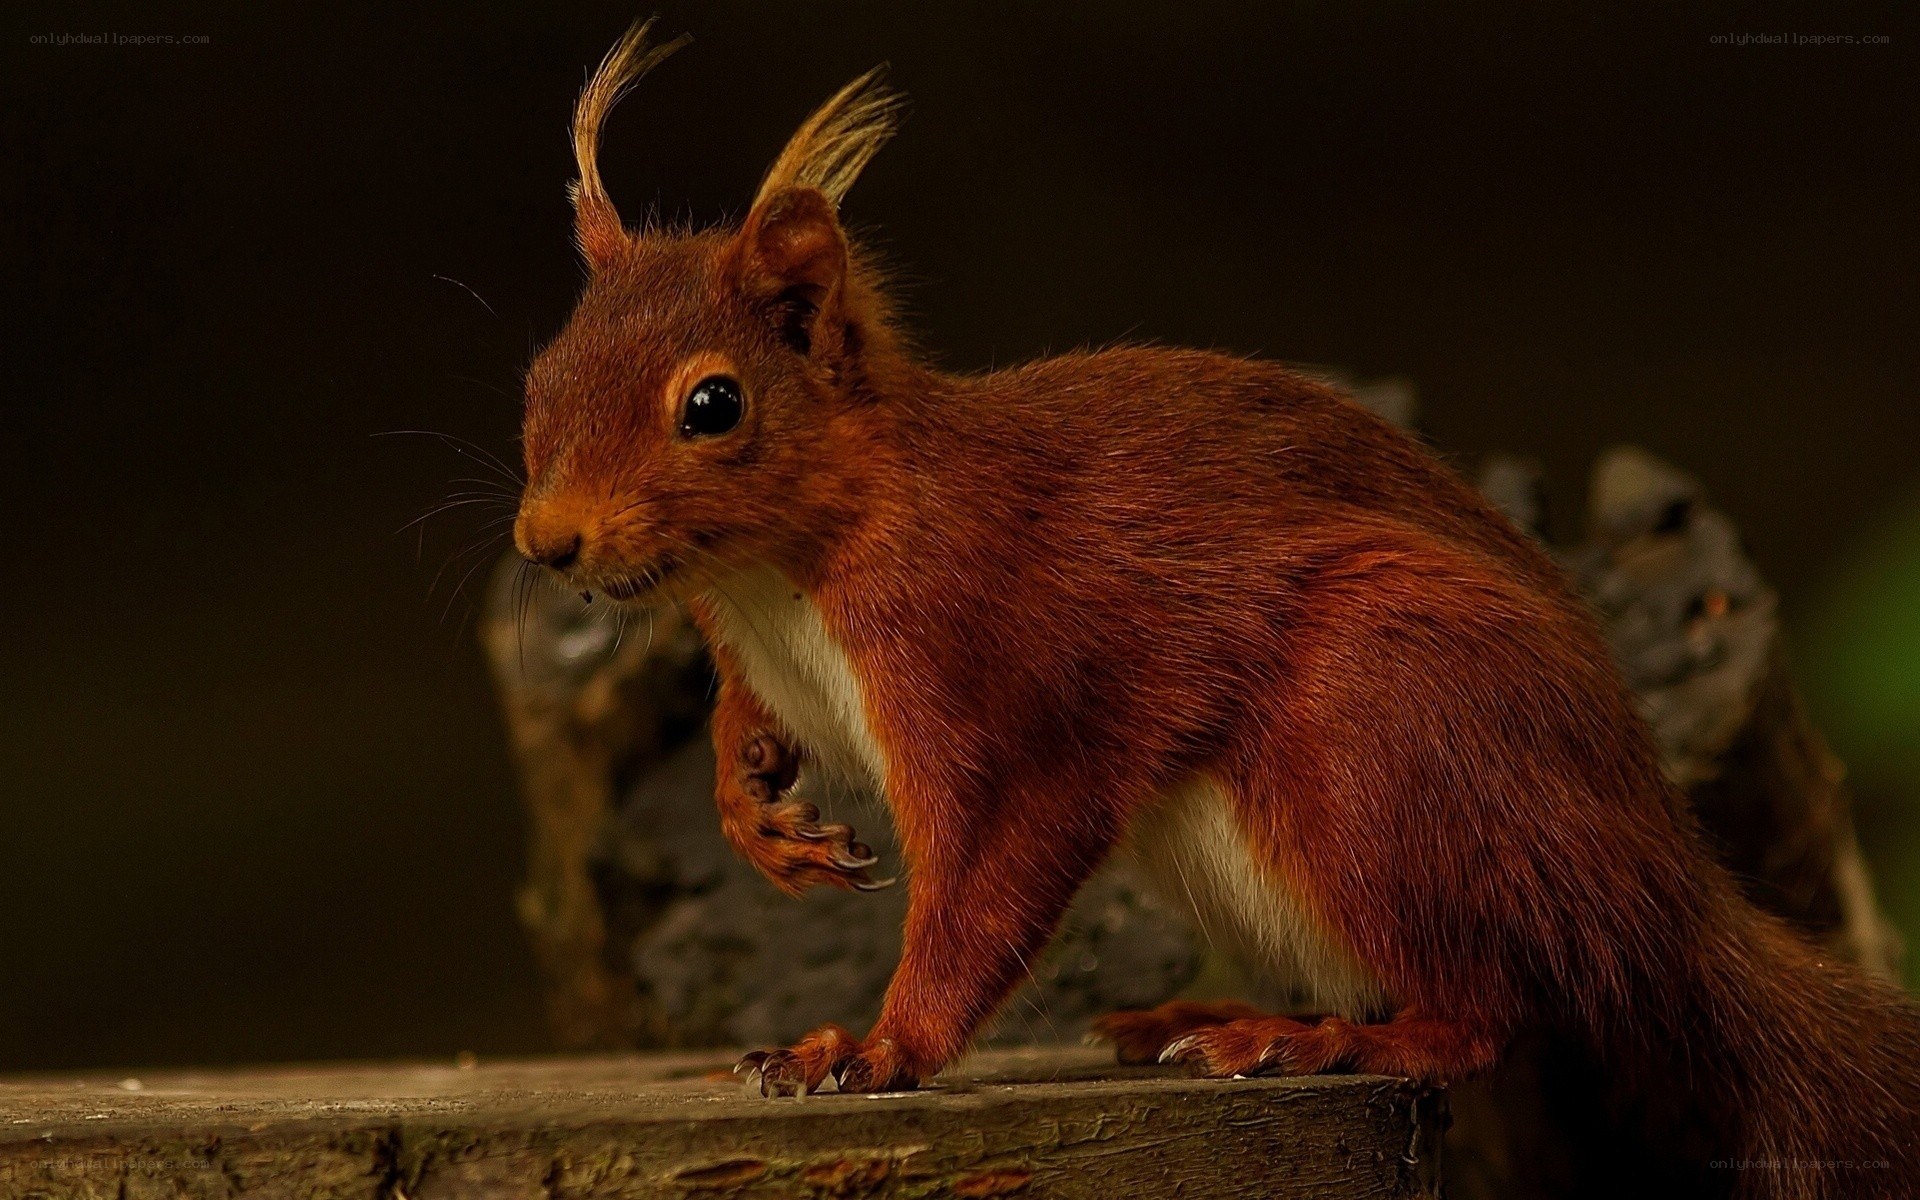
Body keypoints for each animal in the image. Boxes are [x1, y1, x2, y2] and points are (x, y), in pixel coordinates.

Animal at [512, 24, 1920, 1196]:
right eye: (540, 376)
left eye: (713, 405)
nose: (546, 540)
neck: (778, 578)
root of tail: (1663, 888)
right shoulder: (758, 647)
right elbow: (745, 730)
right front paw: (757, 814)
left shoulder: (999, 667)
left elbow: (989, 881)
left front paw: (873, 1048)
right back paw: (1197, 1021)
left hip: (1384, 723)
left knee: (1484, 1011)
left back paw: (1305, 1040)